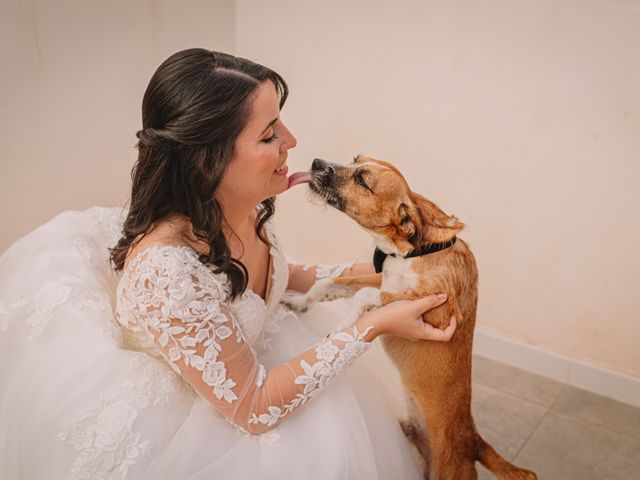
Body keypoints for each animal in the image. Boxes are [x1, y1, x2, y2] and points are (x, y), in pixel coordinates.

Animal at [284, 156, 536, 478]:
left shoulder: (436, 309)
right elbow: (329, 283)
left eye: (362, 179)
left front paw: (342, 328)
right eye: (355, 160)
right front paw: (300, 302)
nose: (316, 161)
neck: (415, 251)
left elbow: (362, 296)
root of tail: (474, 441)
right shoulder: (381, 279)